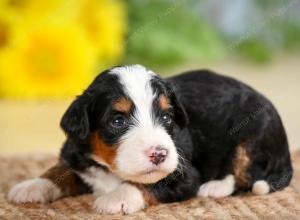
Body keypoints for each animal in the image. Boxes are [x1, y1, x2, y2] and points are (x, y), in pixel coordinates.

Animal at [8, 64, 292, 214]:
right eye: (118, 121)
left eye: (166, 117)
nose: (159, 154)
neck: (110, 169)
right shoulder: (77, 153)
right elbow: (61, 169)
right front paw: (33, 186)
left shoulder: (184, 173)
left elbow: (147, 184)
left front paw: (116, 198)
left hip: (253, 134)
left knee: (243, 173)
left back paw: (214, 187)